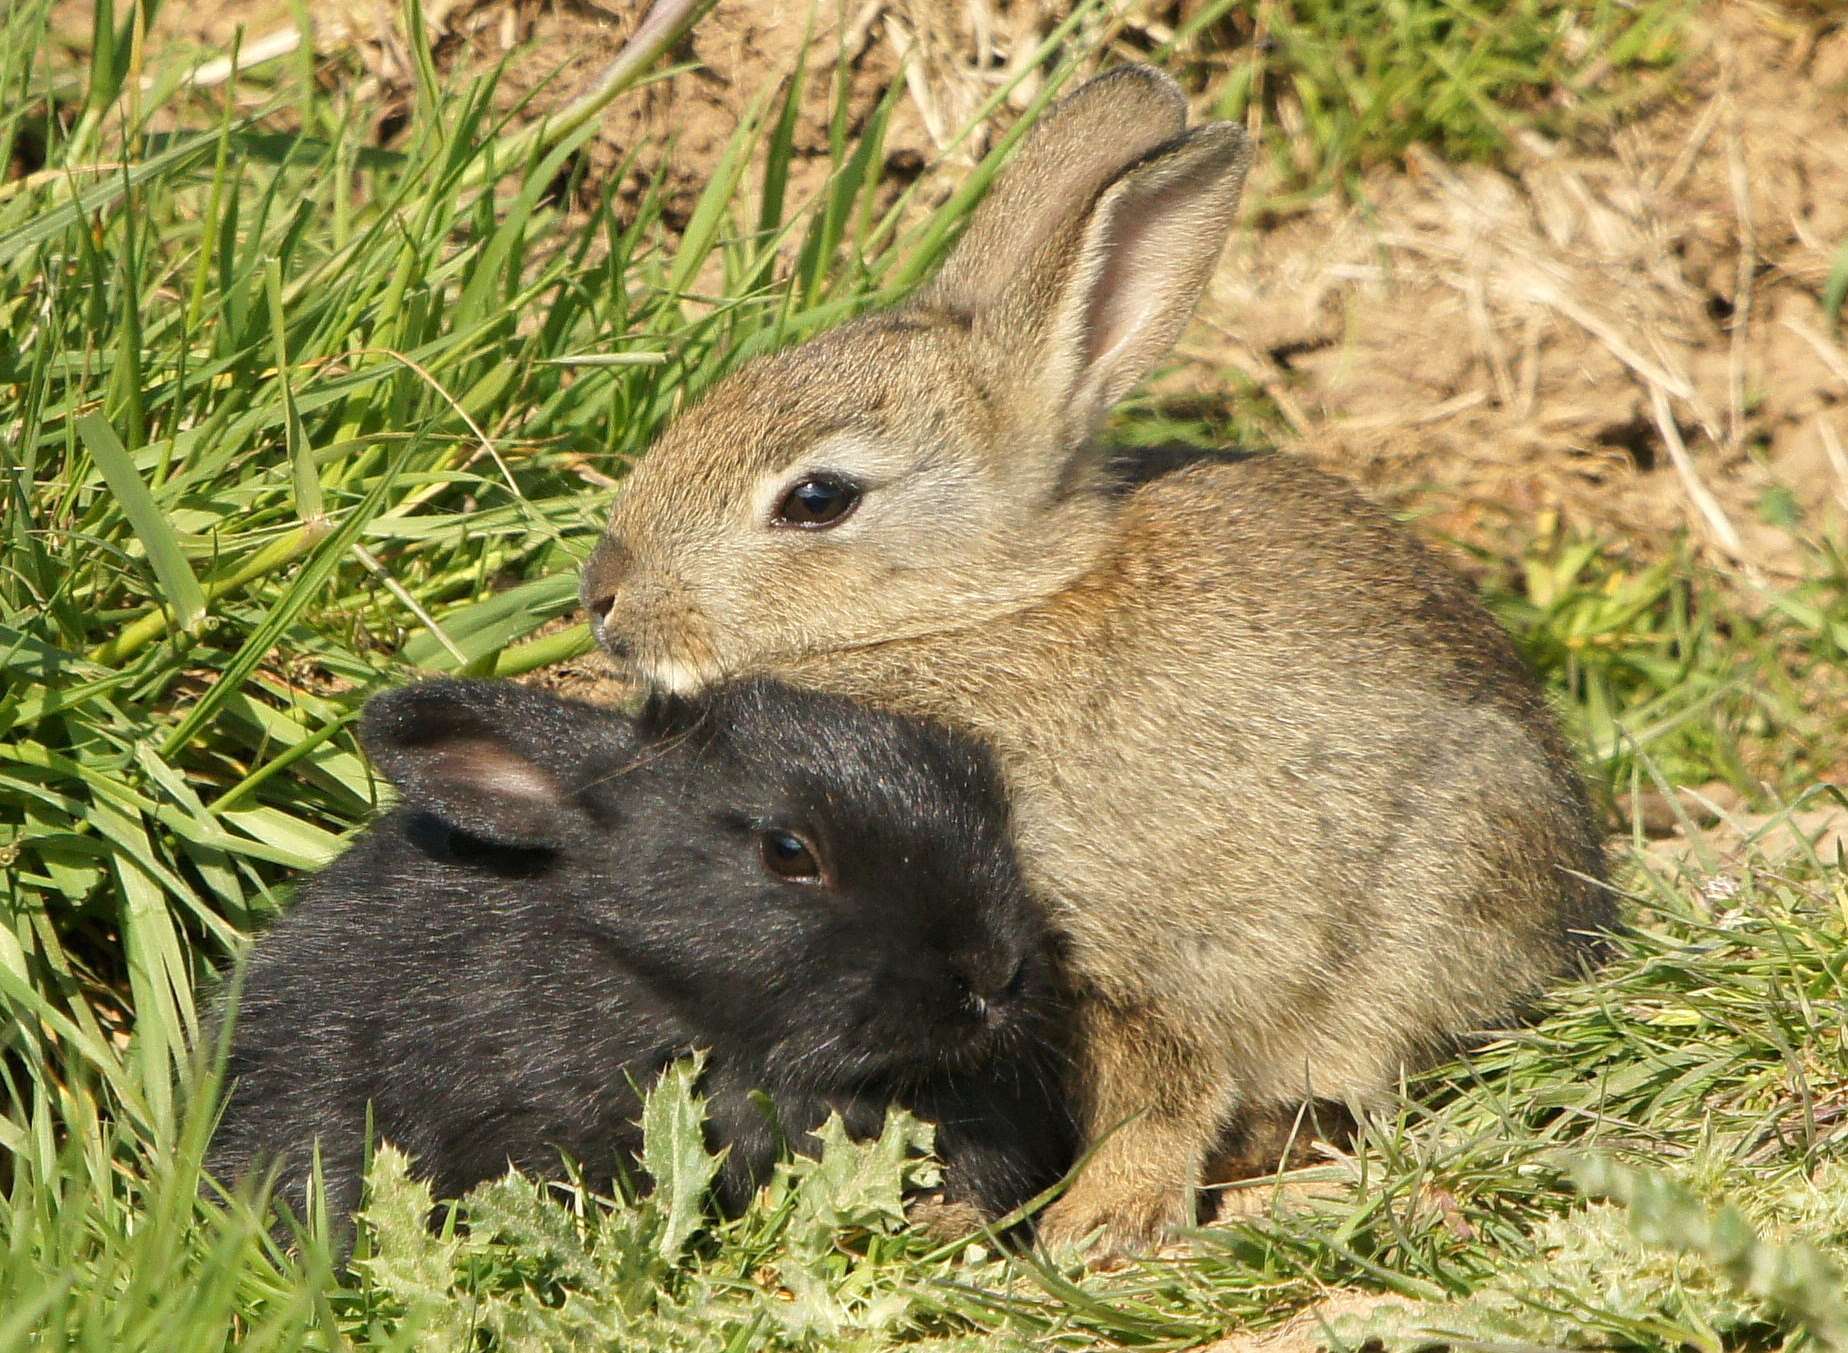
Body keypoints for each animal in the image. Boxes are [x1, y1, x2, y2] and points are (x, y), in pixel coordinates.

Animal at [583, 66, 1611, 1256]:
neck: (979, 612)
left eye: (818, 499)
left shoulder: (1138, 945)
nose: (604, 598)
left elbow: (1163, 1083)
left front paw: (1103, 1224)